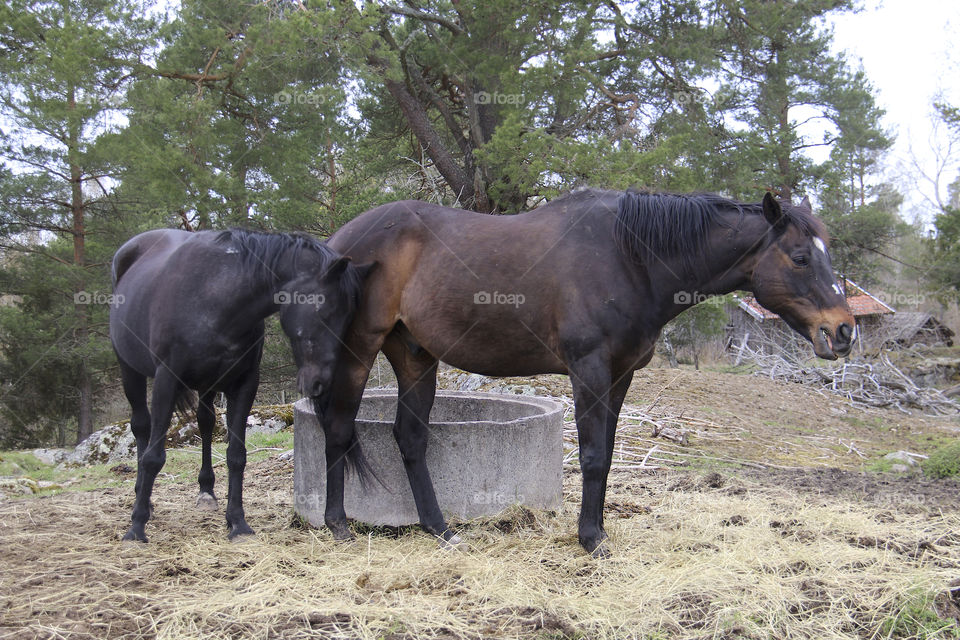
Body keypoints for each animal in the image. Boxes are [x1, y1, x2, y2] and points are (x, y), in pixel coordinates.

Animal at [322, 189, 856, 556]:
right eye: (800, 257)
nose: (844, 331)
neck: (629, 257)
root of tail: (339, 240)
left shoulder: (621, 376)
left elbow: (609, 454)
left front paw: (598, 529)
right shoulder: (589, 371)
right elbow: (593, 456)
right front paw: (589, 540)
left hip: (415, 355)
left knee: (410, 438)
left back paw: (441, 530)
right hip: (358, 349)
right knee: (339, 428)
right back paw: (337, 525)